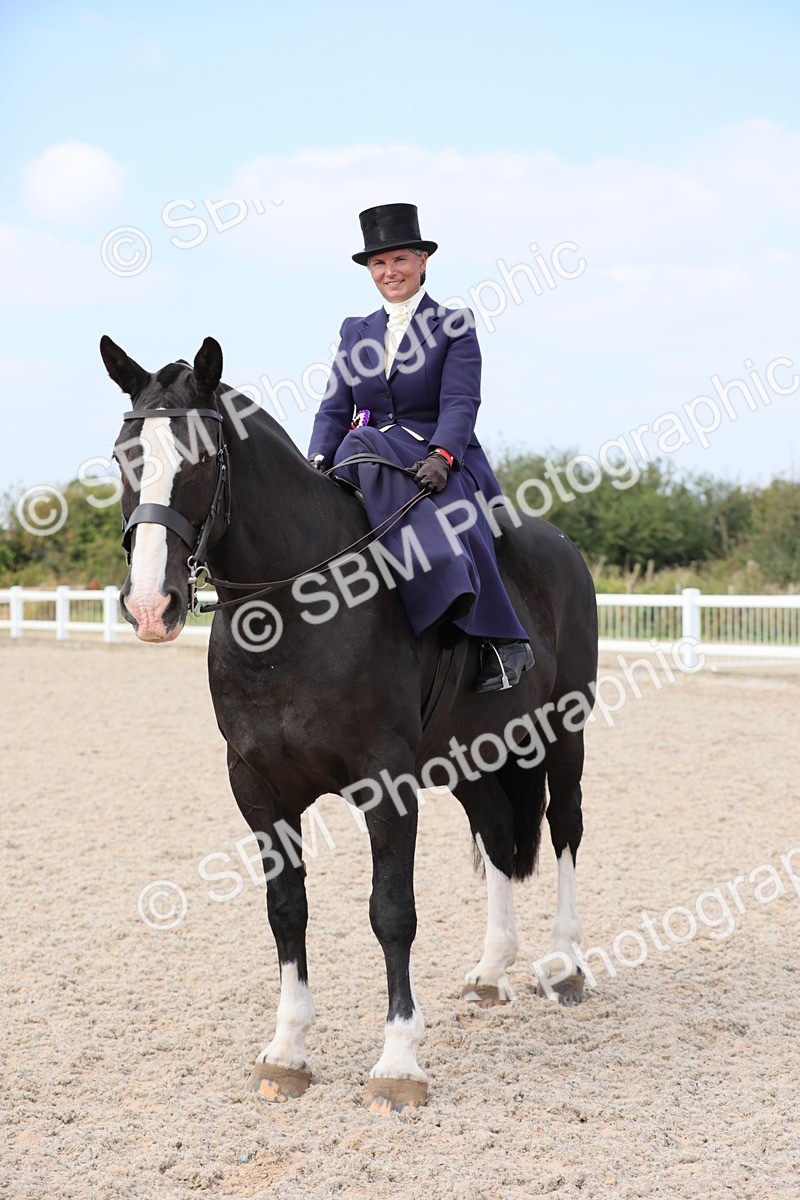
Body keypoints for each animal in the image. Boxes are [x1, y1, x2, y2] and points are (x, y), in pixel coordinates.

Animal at [100, 334, 599, 1113]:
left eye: (202, 460)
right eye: (124, 456)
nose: (152, 606)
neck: (295, 611)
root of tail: (561, 544)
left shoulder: (385, 783)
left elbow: (391, 910)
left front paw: (398, 1062)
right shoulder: (257, 787)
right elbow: (287, 909)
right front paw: (287, 1051)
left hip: (565, 729)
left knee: (566, 826)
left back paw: (567, 964)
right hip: (474, 753)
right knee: (495, 834)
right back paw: (491, 972)